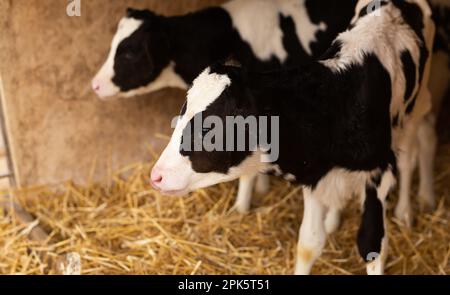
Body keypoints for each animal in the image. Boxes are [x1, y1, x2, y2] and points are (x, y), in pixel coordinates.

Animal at [151, 0, 436, 276]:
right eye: (182, 111)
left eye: (210, 128)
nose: (156, 176)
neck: (336, 103)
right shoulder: (315, 176)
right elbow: (309, 244)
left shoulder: (379, 173)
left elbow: (372, 246)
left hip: (418, 105)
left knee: (411, 154)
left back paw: (406, 211)